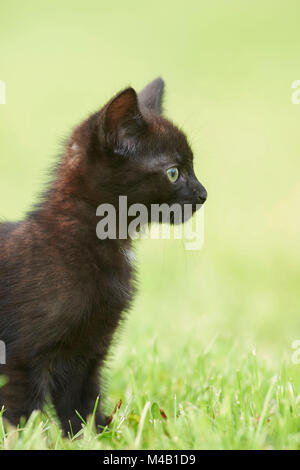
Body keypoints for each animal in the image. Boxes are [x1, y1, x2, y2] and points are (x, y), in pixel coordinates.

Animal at [0, 79, 206, 436]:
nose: (204, 194)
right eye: (173, 172)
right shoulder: (22, 355)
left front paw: (97, 435)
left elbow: (83, 404)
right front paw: (24, 438)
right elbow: (21, 414)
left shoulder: (89, 351)